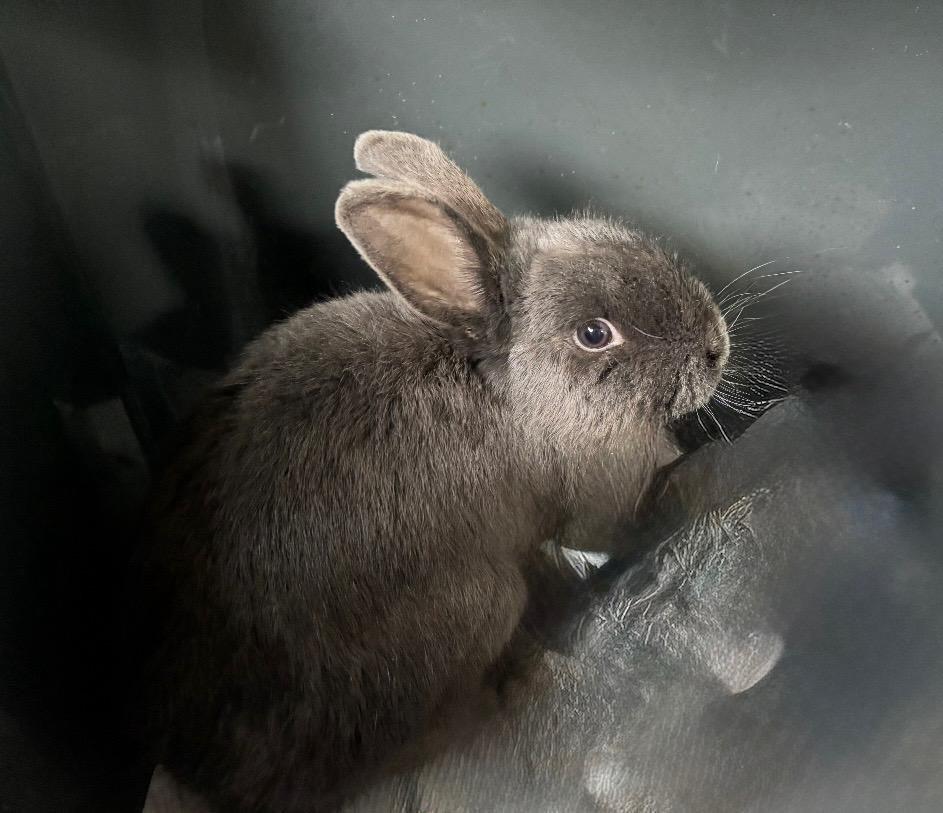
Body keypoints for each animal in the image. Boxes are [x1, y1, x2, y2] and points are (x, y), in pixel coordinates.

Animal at [131, 130, 730, 812]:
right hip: (484, 602)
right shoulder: (596, 499)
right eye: (594, 333)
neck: (514, 386)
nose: (717, 347)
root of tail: (200, 769)